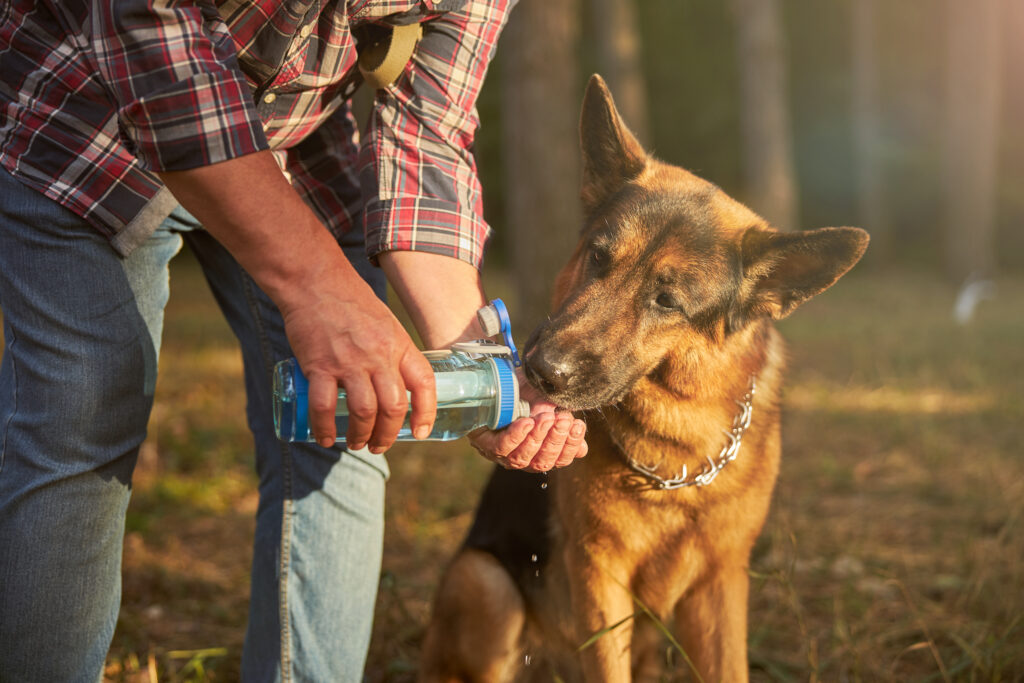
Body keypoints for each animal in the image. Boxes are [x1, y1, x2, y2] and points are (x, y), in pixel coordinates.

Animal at [419, 76, 868, 683]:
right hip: (486, 583)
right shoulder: (600, 580)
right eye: (597, 257)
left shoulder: (721, 586)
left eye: (667, 301)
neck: (676, 458)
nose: (539, 369)